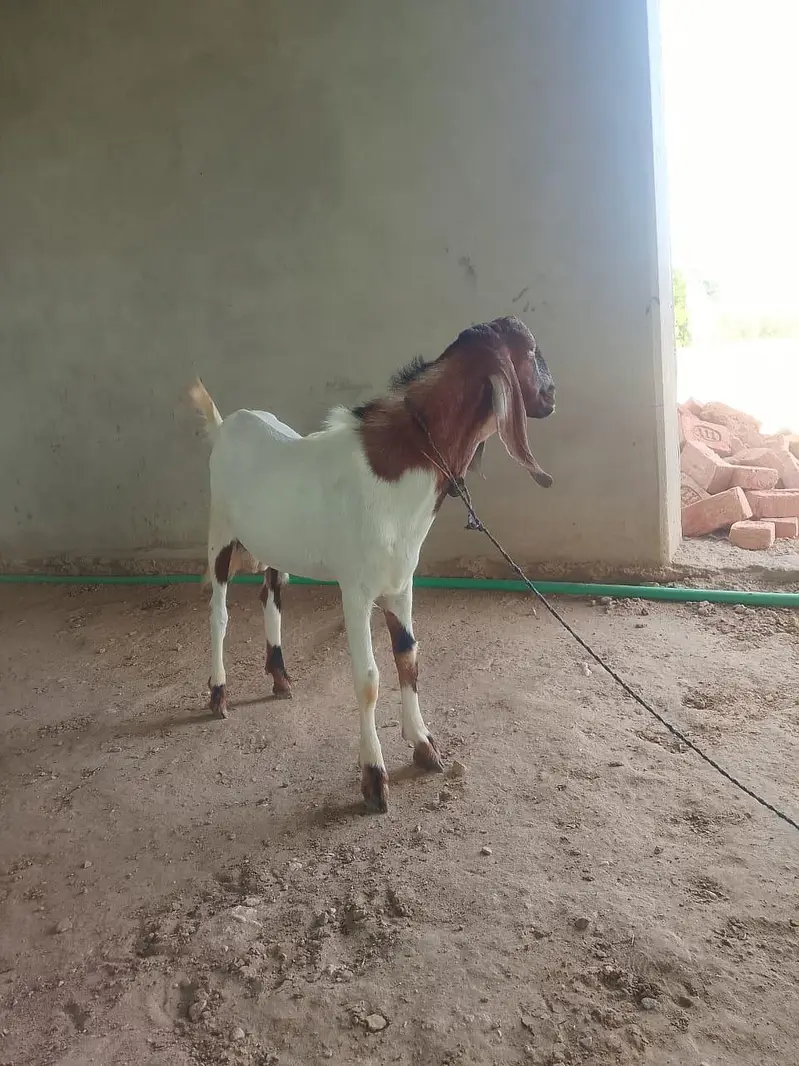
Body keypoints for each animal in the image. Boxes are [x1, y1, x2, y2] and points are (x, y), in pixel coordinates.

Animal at [188, 315, 555, 813]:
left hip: (275, 544)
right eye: (532, 351)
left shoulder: (400, 584)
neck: (395, 475)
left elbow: (408, 659)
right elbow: (367, 679)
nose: (552, 394)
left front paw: (423, 746)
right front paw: (374, 777)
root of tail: (228, 423)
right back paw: (218, 694)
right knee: (219, 612)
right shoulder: (356, 591)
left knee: (271, 594)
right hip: (220, 532)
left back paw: (280, 677)